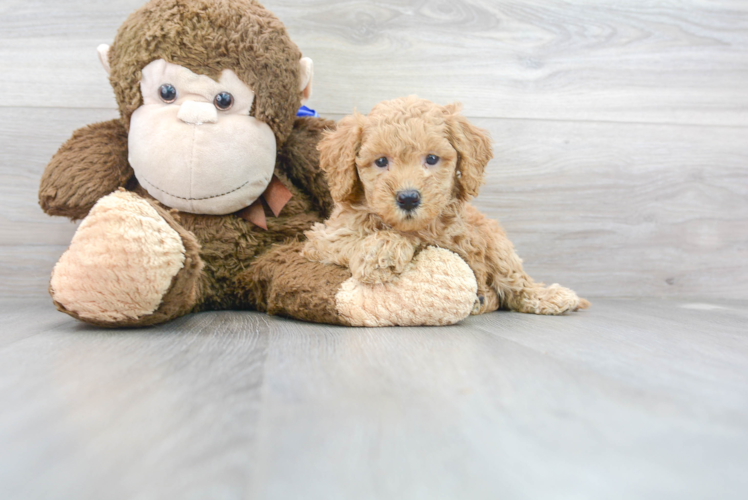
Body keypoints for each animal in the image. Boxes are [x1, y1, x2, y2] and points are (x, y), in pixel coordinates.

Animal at [300, 95, 588, 314]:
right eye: (381, 161)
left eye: (431, 158)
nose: (408, 198)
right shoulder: (323, 239)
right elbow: (351, 239)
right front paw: (380, 251)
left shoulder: (463, 237)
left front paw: (384, 250)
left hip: (495, 240)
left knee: (515, 282)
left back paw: (549, 297)